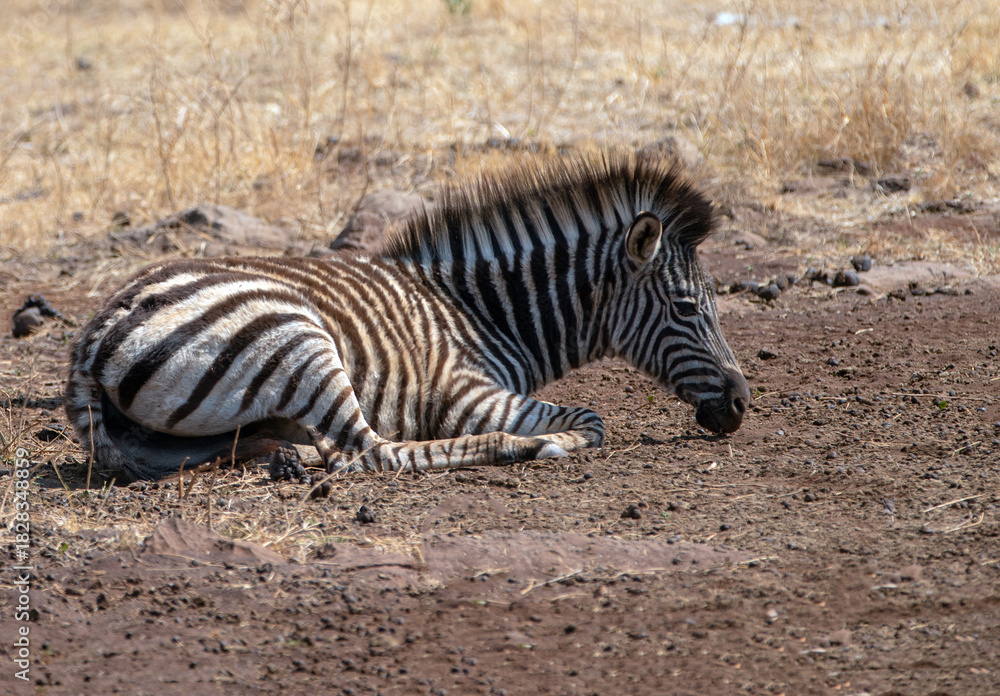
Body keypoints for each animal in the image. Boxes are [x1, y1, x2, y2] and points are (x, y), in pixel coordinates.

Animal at [65, 151, 749, 484]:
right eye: (688, 309)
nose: (742, 404)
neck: (483, 312)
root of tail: (91, 339)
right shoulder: (466, 394)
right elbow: (593, 420)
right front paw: (553, 439)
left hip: (175, 432)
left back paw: (288, 452)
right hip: (297, 338)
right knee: (370, 454)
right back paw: (516, 447)